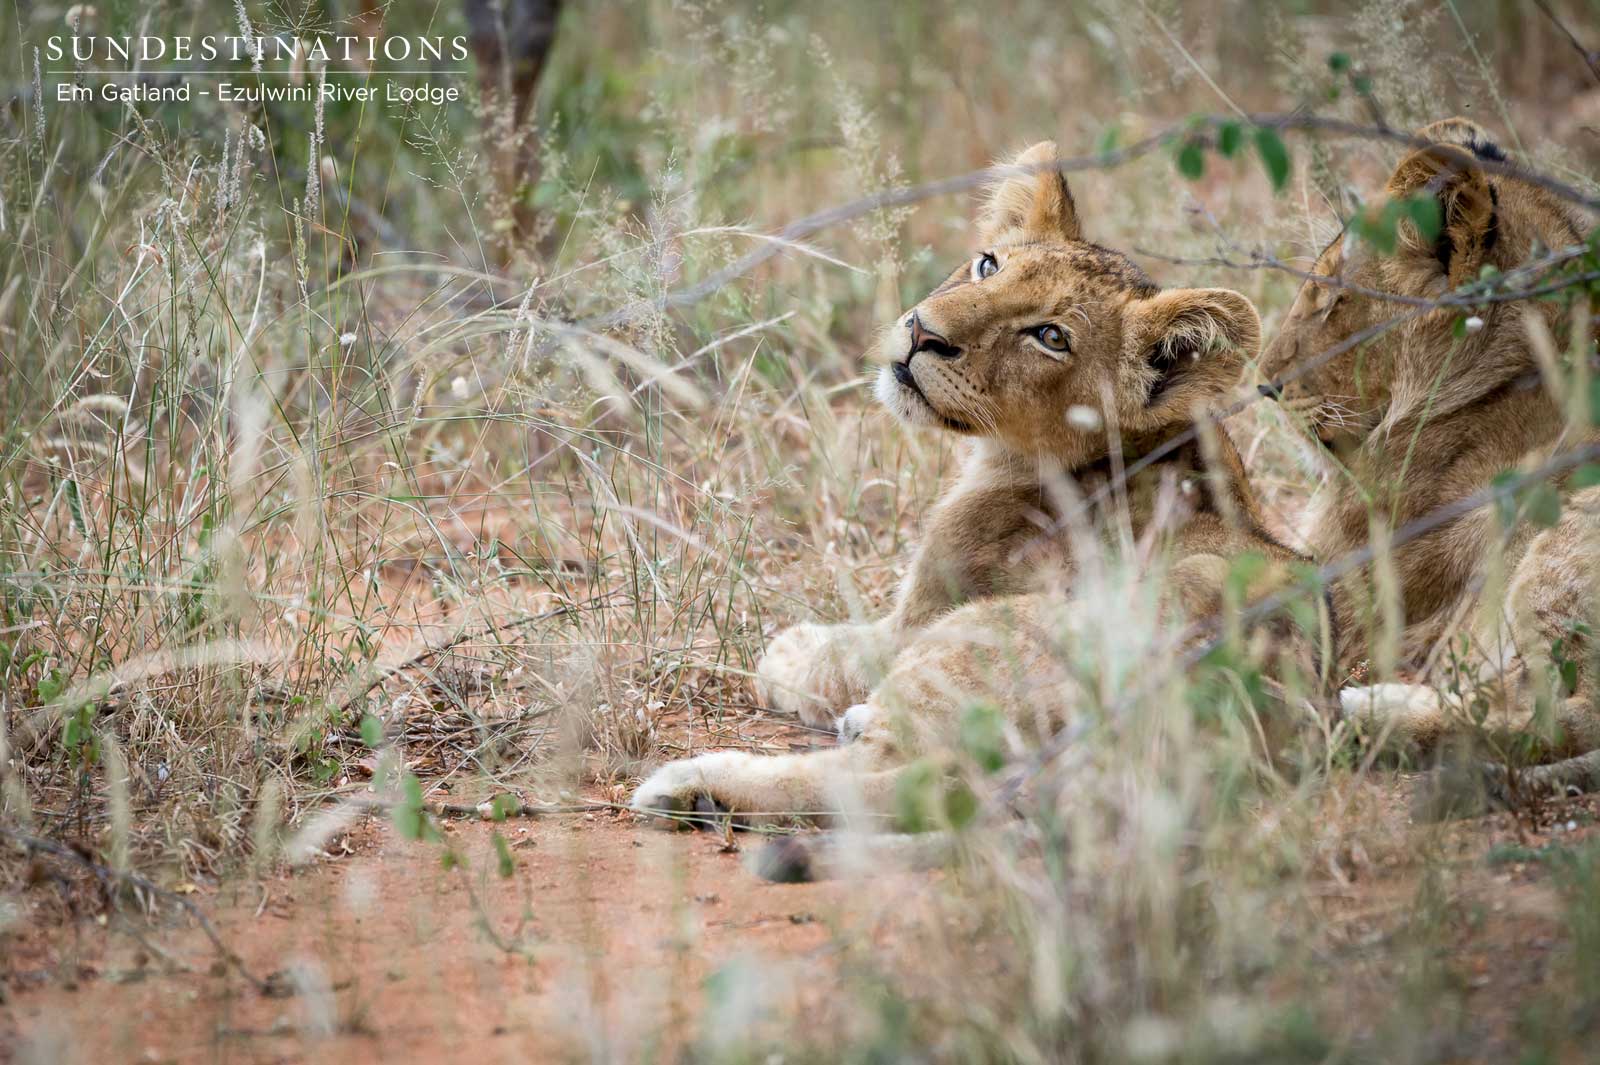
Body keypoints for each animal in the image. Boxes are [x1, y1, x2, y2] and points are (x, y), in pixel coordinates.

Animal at [631, 142, 1323, 831]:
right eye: (988, 265)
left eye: (1050, 336)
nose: (920, 331)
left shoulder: (917, 618)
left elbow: (830, 660)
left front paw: (790, 650)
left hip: (988, 631)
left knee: (886, 780)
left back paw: (692, 786)